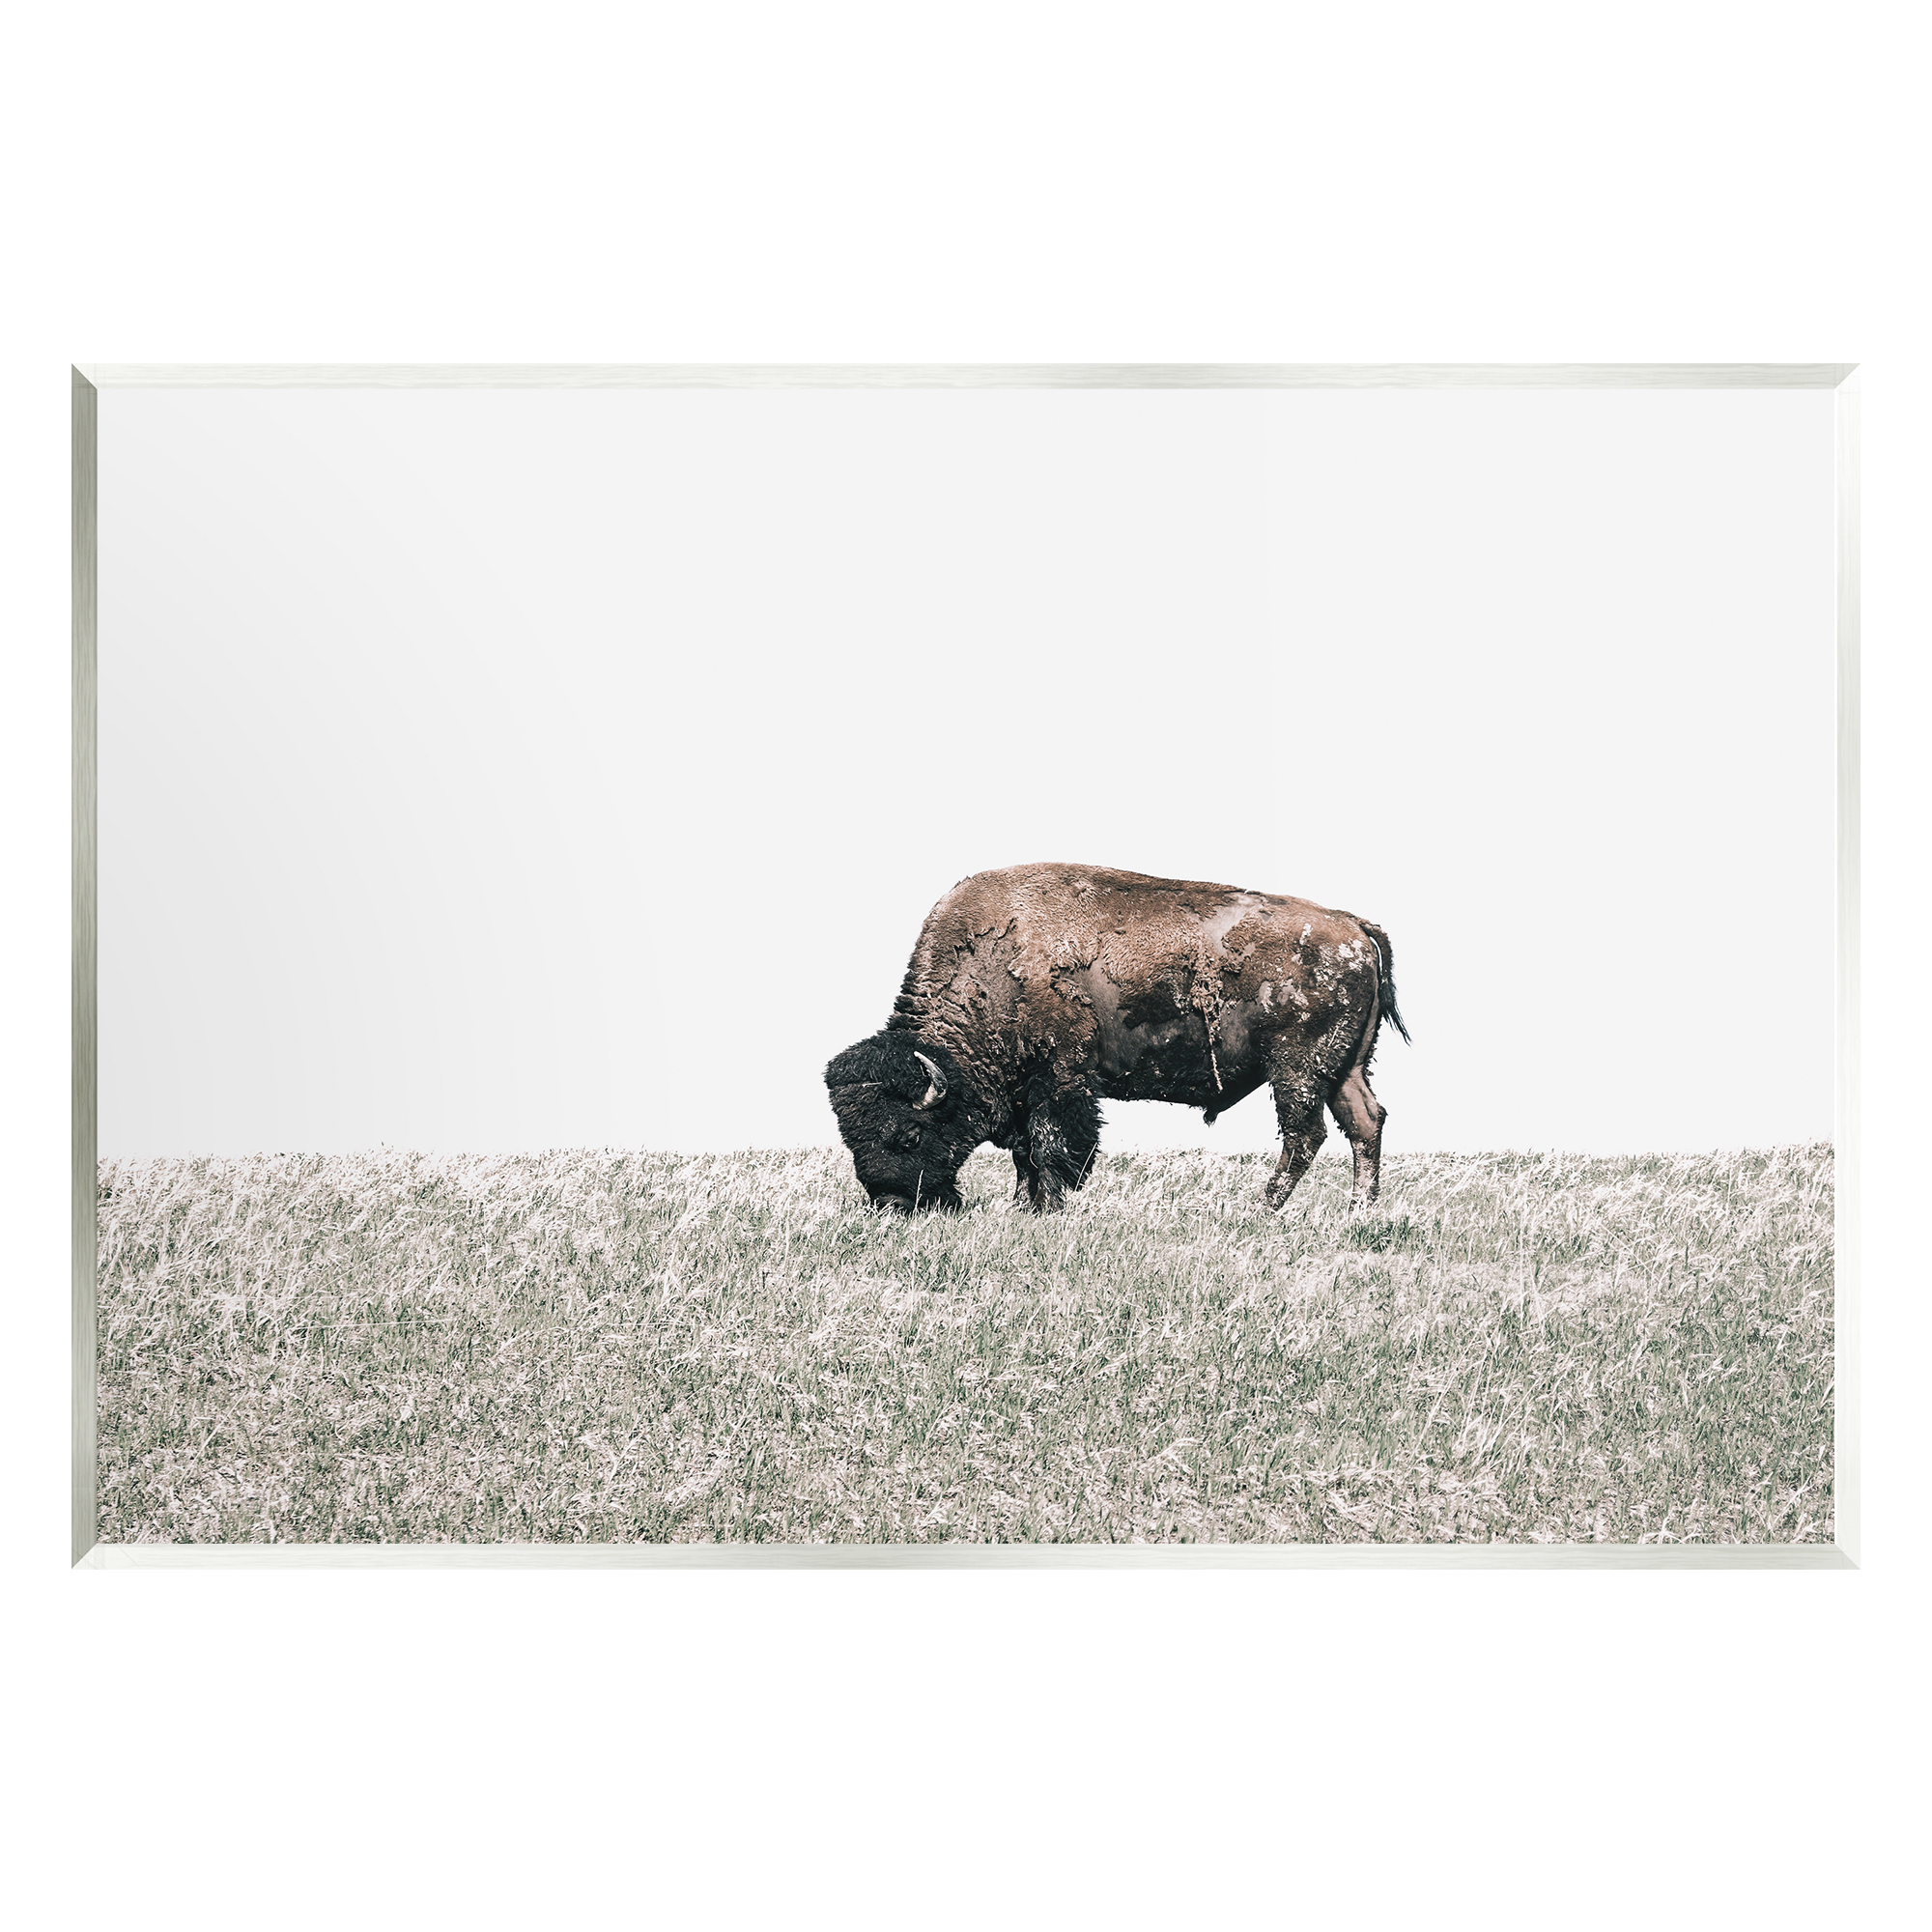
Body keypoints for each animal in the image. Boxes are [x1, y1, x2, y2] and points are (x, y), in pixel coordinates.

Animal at [825, 863, 1408, 1215]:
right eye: (851, 1138)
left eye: (907, 1135)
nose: (891, 1204)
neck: (994, 965)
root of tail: (1354, 927)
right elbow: (1024, 1153)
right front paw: (1023, 1207)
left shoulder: (1060, 1079)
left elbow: (1050, 1145)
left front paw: (1049, 1208)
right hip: (1346, 1067)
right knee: (1365, 1123)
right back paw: (1359, 1211)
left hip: (1297, 1069)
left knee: (1304, 1134)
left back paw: (1260, 1209)